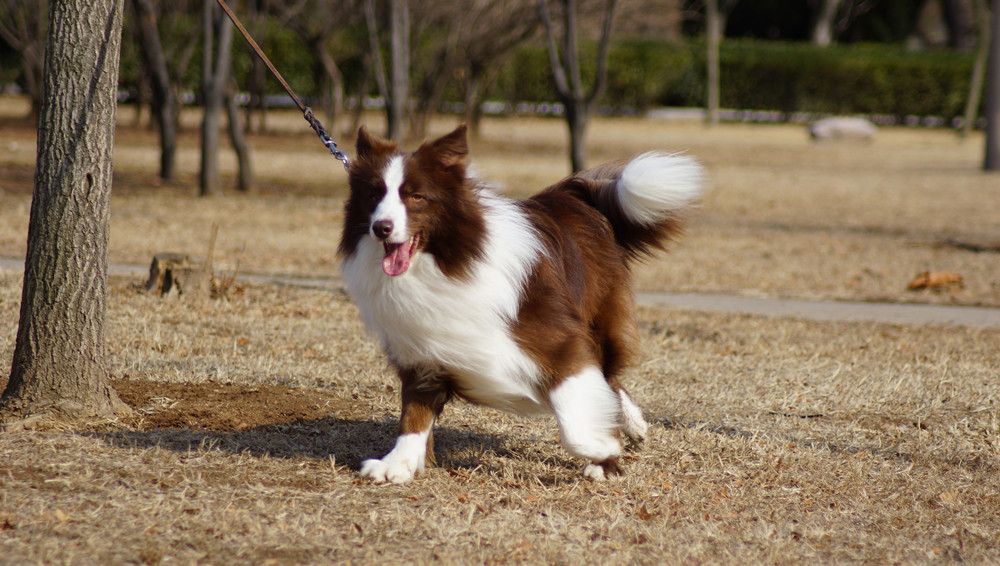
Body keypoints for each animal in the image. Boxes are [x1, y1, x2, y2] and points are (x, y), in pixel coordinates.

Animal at [340, 125, 700, 484]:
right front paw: (396, 464)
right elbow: (414, 414)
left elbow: (575, 417)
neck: (449, 263)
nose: (381, 227)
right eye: (374, 195)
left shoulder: (559, 339)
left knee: (608, 374)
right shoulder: (423, 349)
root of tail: (575, 194)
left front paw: (603, 451)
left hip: (599, 318)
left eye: (415, 196)